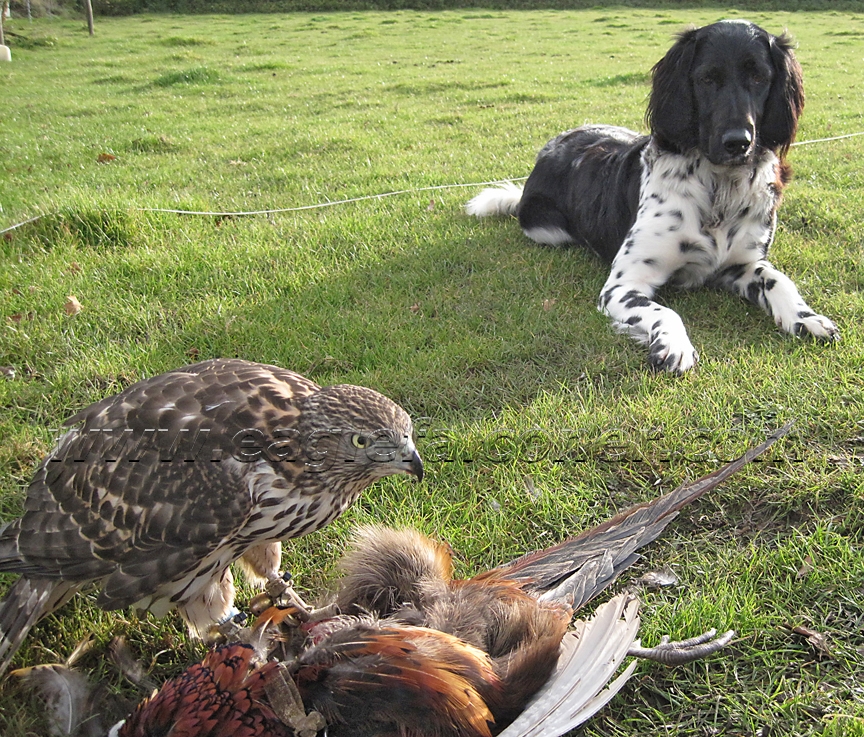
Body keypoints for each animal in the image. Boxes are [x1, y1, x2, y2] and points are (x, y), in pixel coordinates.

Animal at [466, 18, 836, 374]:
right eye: (707, 78)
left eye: (759, 77)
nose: (738, 142)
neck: (718, 190)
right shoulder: (623, 285)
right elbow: (666, 311)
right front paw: (674, 346)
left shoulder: (743, 264)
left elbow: (777, 279)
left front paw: (806, 317)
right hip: (546, 230)